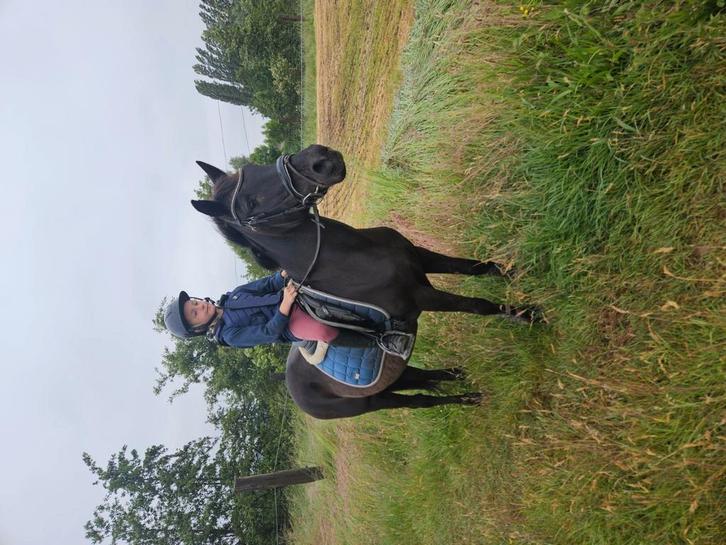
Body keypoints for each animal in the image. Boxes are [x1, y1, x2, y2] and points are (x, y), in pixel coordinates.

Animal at [191, 144, 541, 419]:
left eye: (254, 168)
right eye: (250, 203)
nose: (321, 158)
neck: (355, 256)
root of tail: (292, 390)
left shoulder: (422, 258)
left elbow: (478, 268)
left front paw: (514, 272)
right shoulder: (422, 296)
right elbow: (479, 306)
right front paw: (528, 315)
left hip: (392, 374)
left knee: (421, 378)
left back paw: (457, 376)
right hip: (372, 402)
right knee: (421, 401)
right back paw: (468, 398)